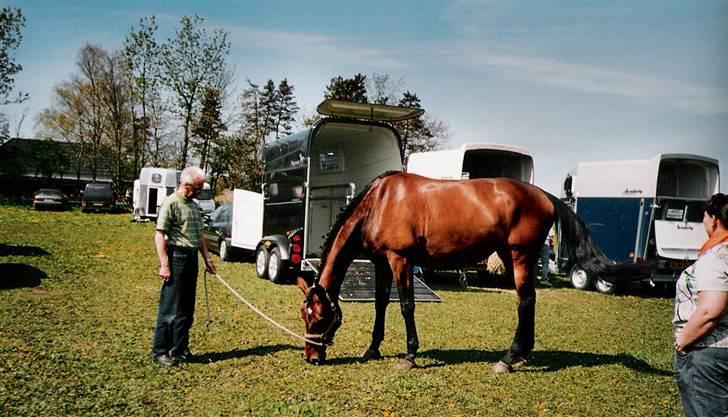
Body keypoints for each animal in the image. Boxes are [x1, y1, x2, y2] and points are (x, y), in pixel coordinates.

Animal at [296, 171, 616, 372]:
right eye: (304, 315)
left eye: (321, 317)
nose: (311, 357)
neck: (380, 203)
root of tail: (542, 194)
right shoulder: (381, 263)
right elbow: (380, 305)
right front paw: (373, 349)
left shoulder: (400, 260)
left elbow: (406, 306)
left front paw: (409, 355)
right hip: (511, 256)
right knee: (530, 301)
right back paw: (523, 355)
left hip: (521, 255)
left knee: (524, 302)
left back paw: (508, 358)